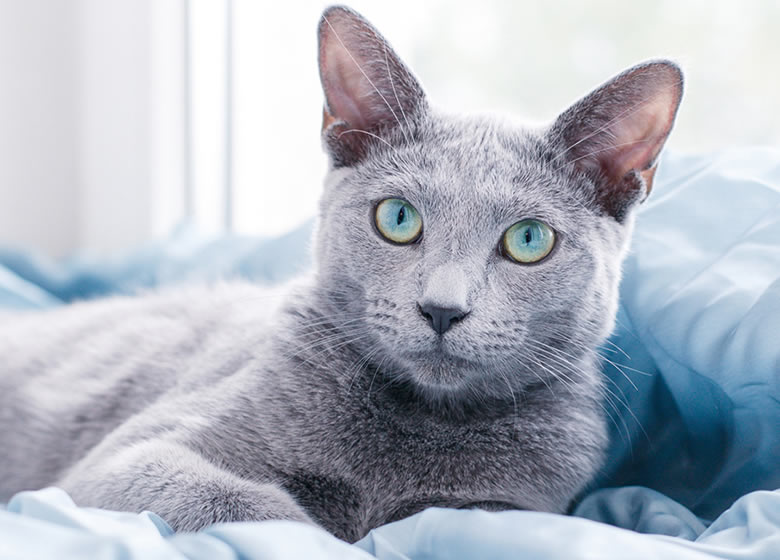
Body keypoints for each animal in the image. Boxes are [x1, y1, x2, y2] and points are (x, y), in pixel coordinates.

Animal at [0, 4, 684, 544]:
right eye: (399, 218)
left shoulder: (521, 503)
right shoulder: (127, 460)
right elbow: (259, 512)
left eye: (529, 240)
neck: (420, 428)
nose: (442, 308)